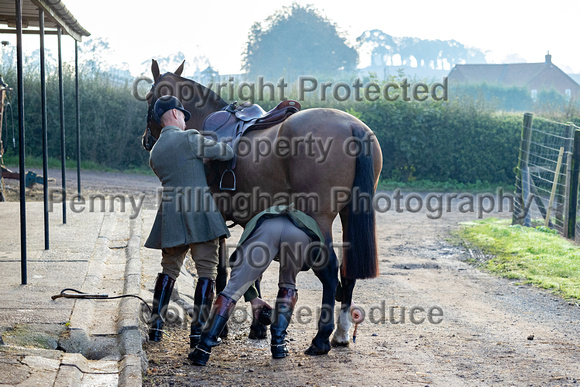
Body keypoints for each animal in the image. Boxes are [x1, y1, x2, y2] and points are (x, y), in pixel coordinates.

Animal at [143, 60, 382, 358]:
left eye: (149, 97)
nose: (146, 140)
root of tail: (352, 126)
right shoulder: (249, 219)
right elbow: (250, 273)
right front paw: (258, 325)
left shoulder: (216, 217)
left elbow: (221, 273)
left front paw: (220, 330)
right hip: (350, 214)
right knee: (347, 272)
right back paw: (341, 333)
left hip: (319, 219)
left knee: (329, 269)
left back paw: (321, 339)